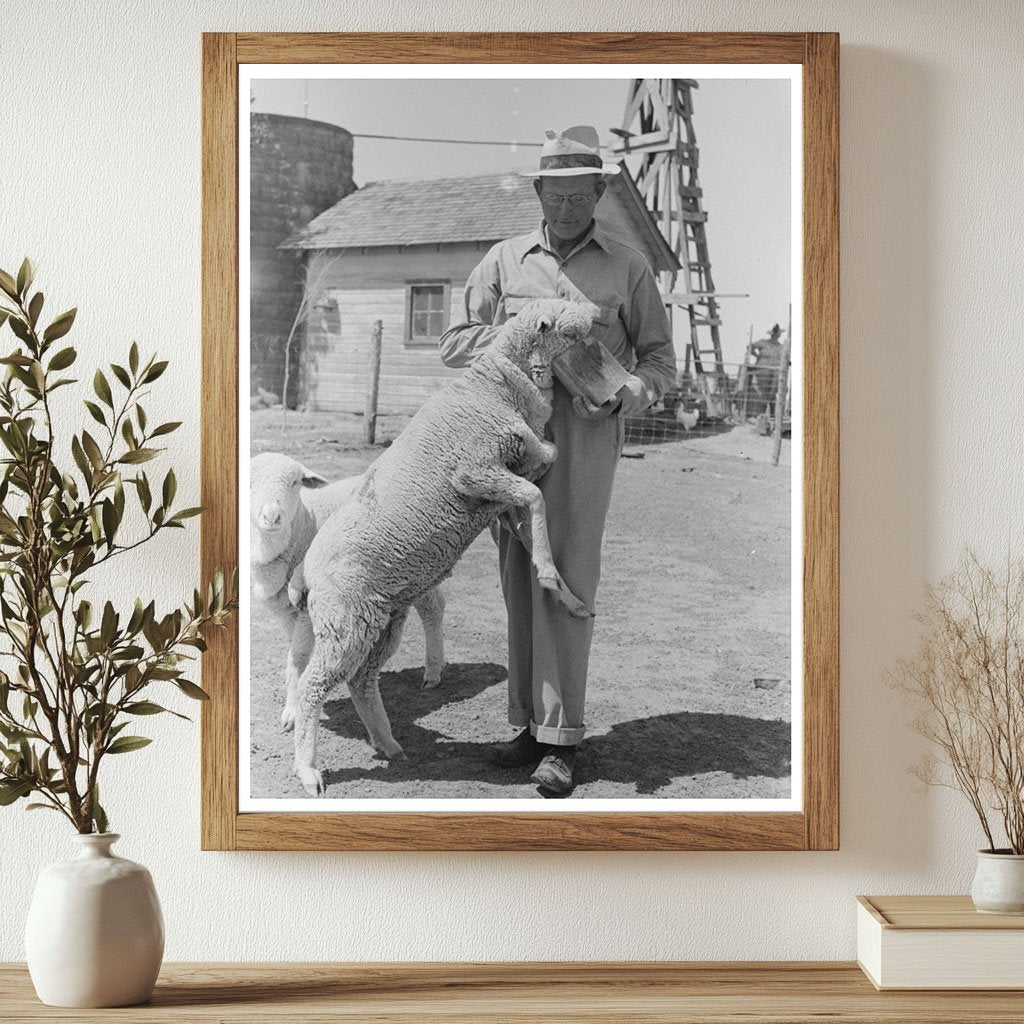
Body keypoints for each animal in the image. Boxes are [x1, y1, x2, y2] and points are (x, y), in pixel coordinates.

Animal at [249, 452, 446, 733]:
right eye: (249, 483)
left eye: (295, 482)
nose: (272, 516)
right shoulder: (286, 612)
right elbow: (294, 657)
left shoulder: (307, 608)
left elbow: (298, 657)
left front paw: (291, 714)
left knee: (433, 609)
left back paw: (432, 673)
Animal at [292, 299, 598, 794]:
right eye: (563, 313)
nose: (597, 310)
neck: (494, 387)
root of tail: (308, 570)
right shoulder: (475, 471)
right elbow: (537, 492)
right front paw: (553, 577)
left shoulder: (497, 493)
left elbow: (536, 485)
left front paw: (563, 591)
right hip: (345, 624)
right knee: (312, 686)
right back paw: (308, 770)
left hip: (384, 619)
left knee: (362, 681)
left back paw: (388, 744)